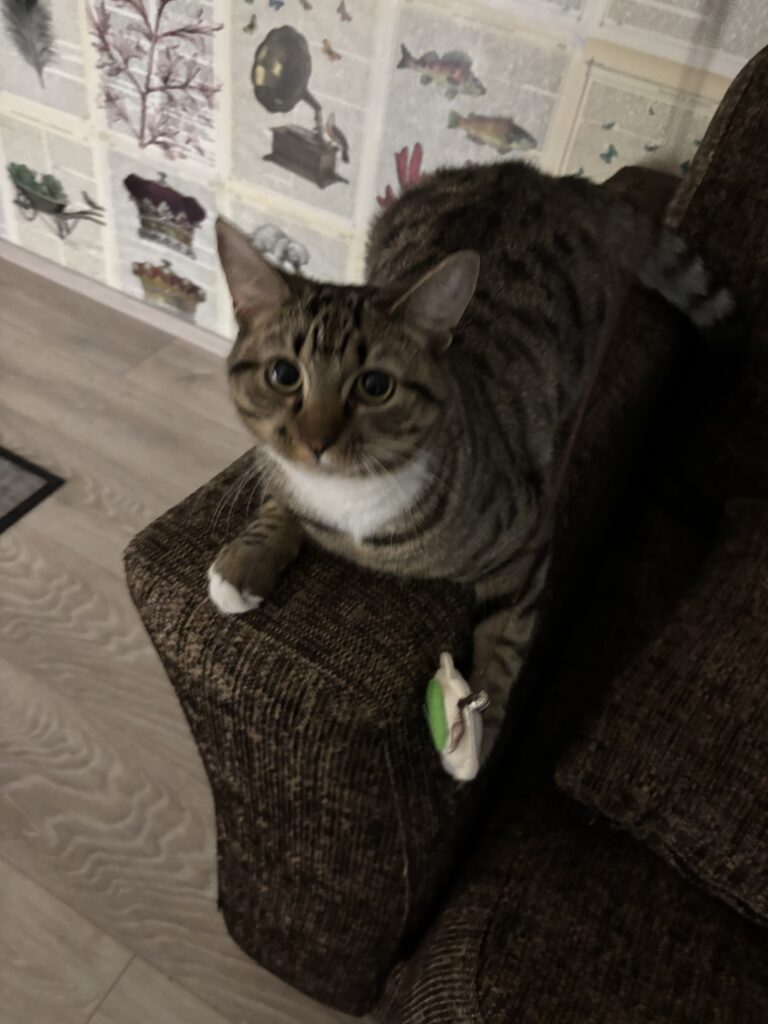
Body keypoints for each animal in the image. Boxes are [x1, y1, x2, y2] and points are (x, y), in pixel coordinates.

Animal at [209, 160, 732, 780]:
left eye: (375, 386)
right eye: (284, 374)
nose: (317, 441)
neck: (350, 498)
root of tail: (544, 178)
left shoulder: (527, 534)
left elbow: (505, 634)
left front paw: (481, 725)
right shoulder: (280, 469)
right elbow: (277, 498)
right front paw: (245, 562)